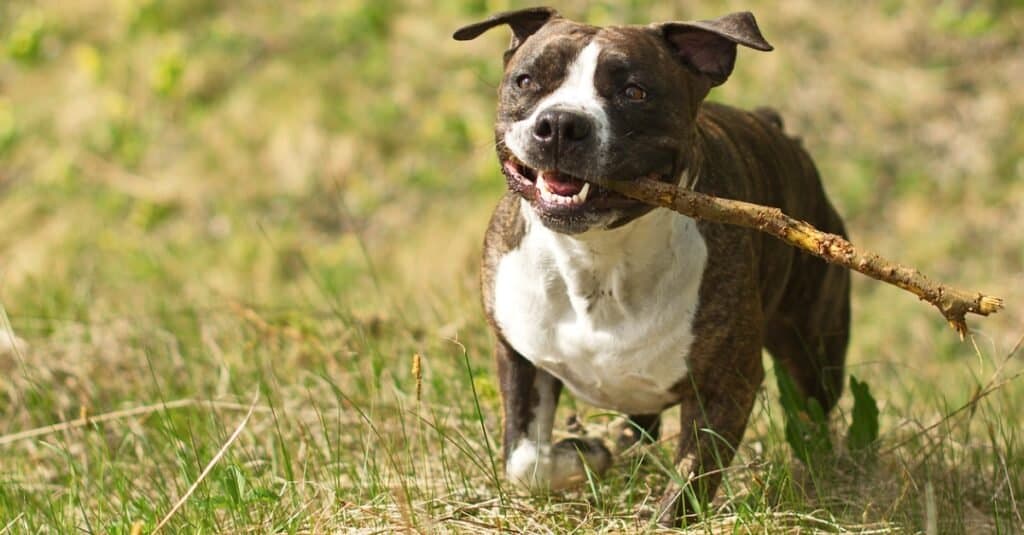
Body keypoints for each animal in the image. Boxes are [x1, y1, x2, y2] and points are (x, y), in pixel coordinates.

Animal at [454, 7, 847, 524]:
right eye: (527, 80)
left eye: (634, 92)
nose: (560, 123)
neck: (598, 259)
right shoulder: (518, 352)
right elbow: (523, 459)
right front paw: (586, 456)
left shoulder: (726, 384)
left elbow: (690, 481)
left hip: (813, 346)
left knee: (814, 410)